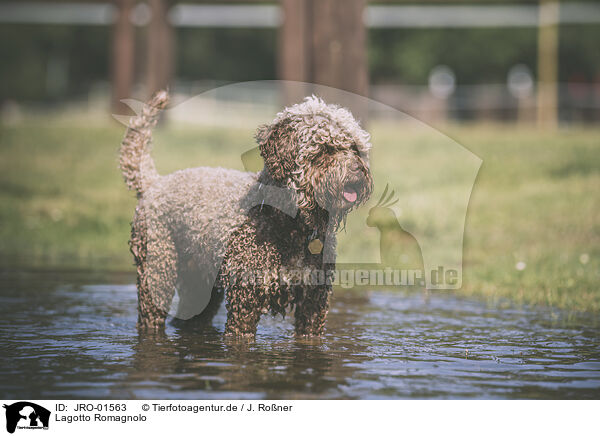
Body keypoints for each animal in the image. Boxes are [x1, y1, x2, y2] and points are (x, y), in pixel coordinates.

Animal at [120, 91, 372, 338]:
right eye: (325, 148)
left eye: (355, 147)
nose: (359, 170)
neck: (290, 227)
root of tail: (154, 183)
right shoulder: (245, 301)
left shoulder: (313, 302)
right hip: (158, 272)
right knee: (151, 316)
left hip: (200, 286)